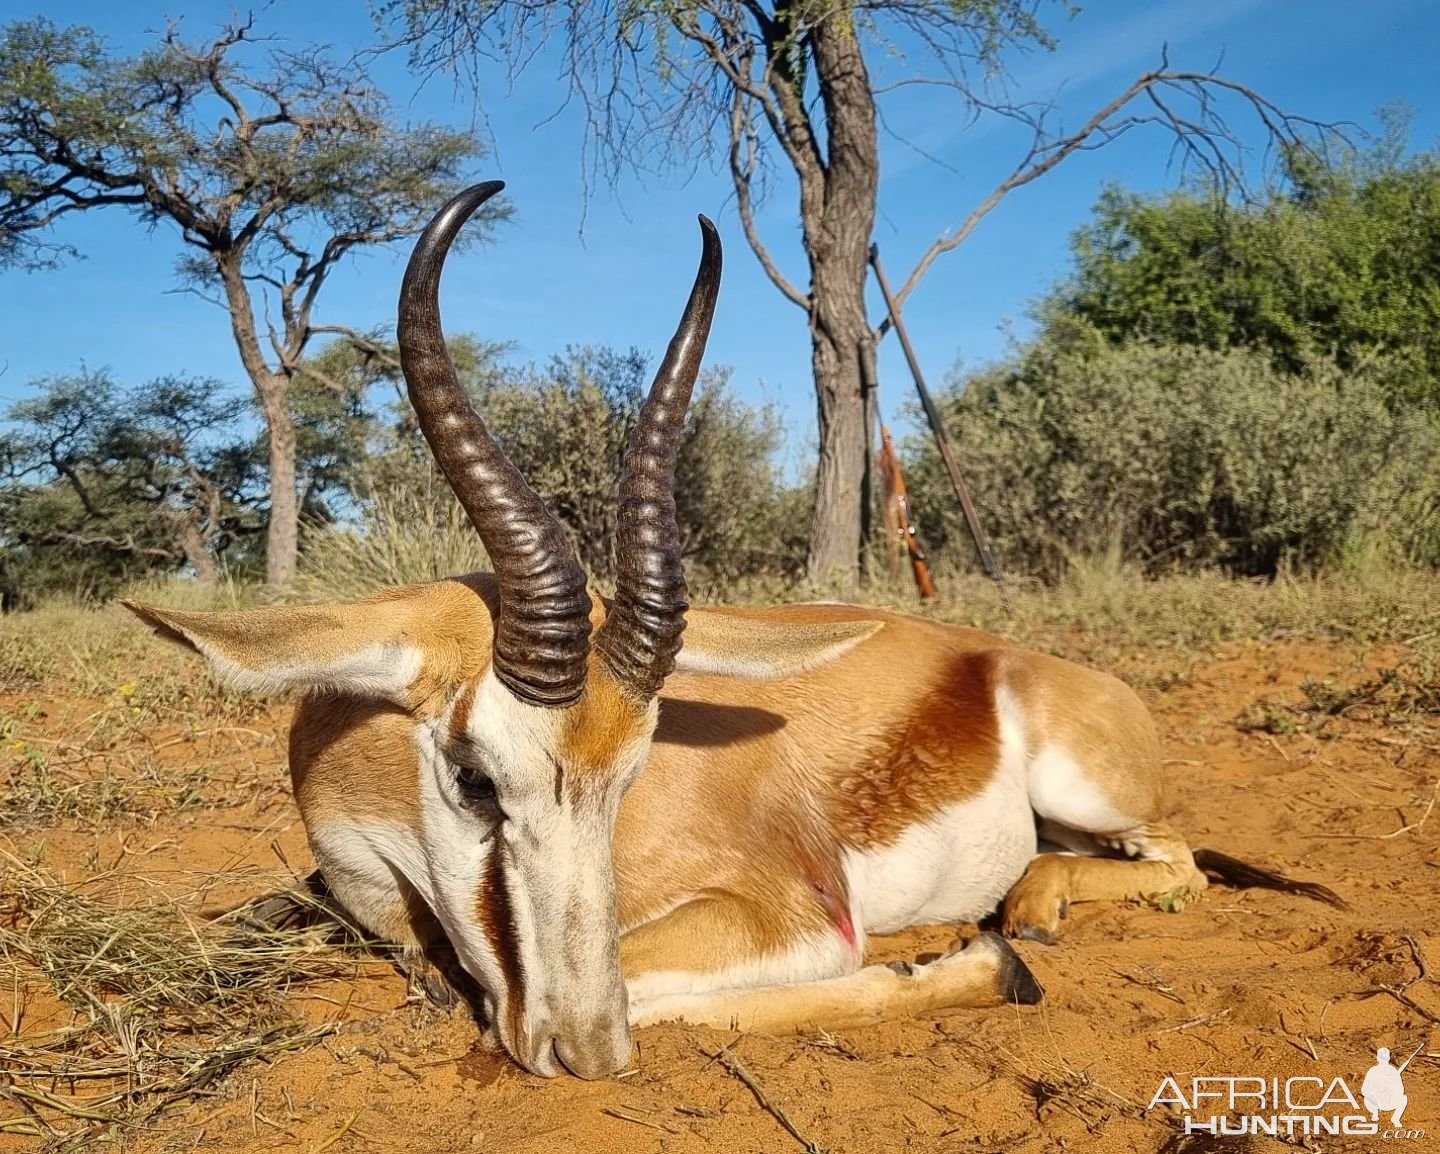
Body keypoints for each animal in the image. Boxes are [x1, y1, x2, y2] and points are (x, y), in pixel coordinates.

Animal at [123, 180, 1336, 1083]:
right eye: (473, 777)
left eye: (637, 772)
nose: (584, 1050)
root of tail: (1020, 661)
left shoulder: (792, 918)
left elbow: (674, 986)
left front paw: (973, 969)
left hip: (1095, 796)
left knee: (1181, 860)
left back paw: (1022, 924)